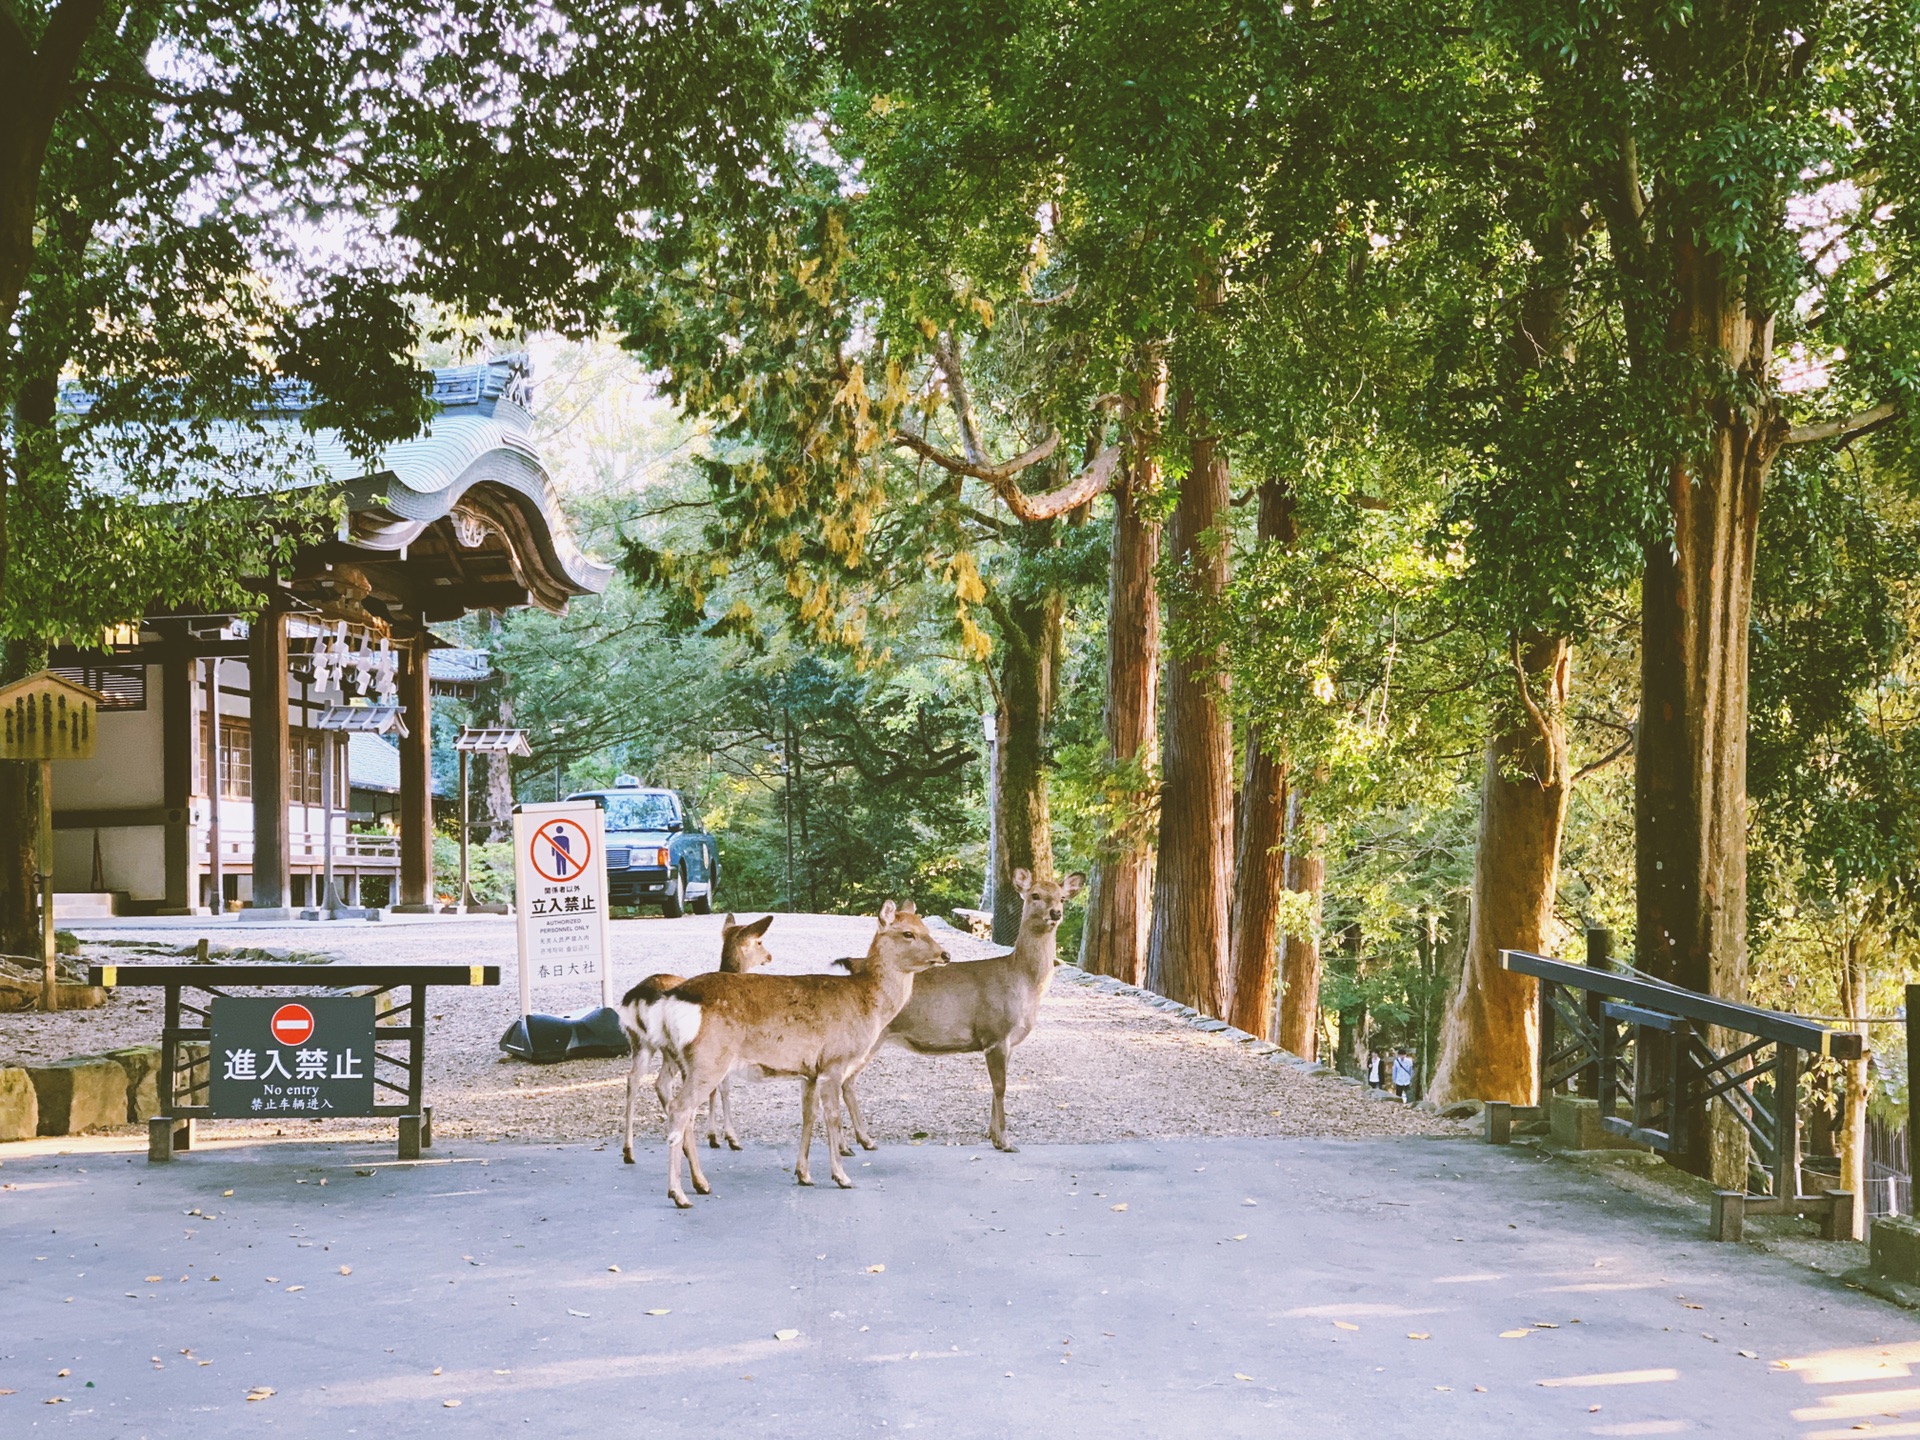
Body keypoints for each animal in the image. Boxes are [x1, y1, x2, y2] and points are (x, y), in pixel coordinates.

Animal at [610, 917, 768, 1167]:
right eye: (760, 941)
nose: (769, 956)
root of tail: (637, 997)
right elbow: (723, 1088)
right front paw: (728, 1138)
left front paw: (714, 1136)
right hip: (673, 1049)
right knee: (665, 1085)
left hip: (640, 1043)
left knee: (634, 1080)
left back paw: (629, 1151)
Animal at [656, 906, 948, 1213]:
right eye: (908, 933)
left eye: (926, 928)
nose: (945, 954)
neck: (866, 1002)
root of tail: (672, 998)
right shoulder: (834, 1061)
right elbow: (833, 1117)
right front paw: (841, 1176)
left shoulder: (809, 1071)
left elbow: (809, 1116)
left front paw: (804, 1174)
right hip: (709, 1060)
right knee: (679, 1108)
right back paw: (678, 1194)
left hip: (687, 1061)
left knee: (685, 1112)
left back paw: (701, 1184)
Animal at [837, 867, 1090, 1159]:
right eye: (1035, 895)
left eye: (1062, 897)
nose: (1055, 913)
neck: (1023, 982)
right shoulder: (995, 1031)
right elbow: (1001, 1087)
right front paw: (1006, 1141)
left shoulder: (1007, 1041)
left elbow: (995, 1087)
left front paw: (994, 1137)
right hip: (869, 1038)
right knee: (841, 1081)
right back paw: (855, 1143)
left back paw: (861, 1141)